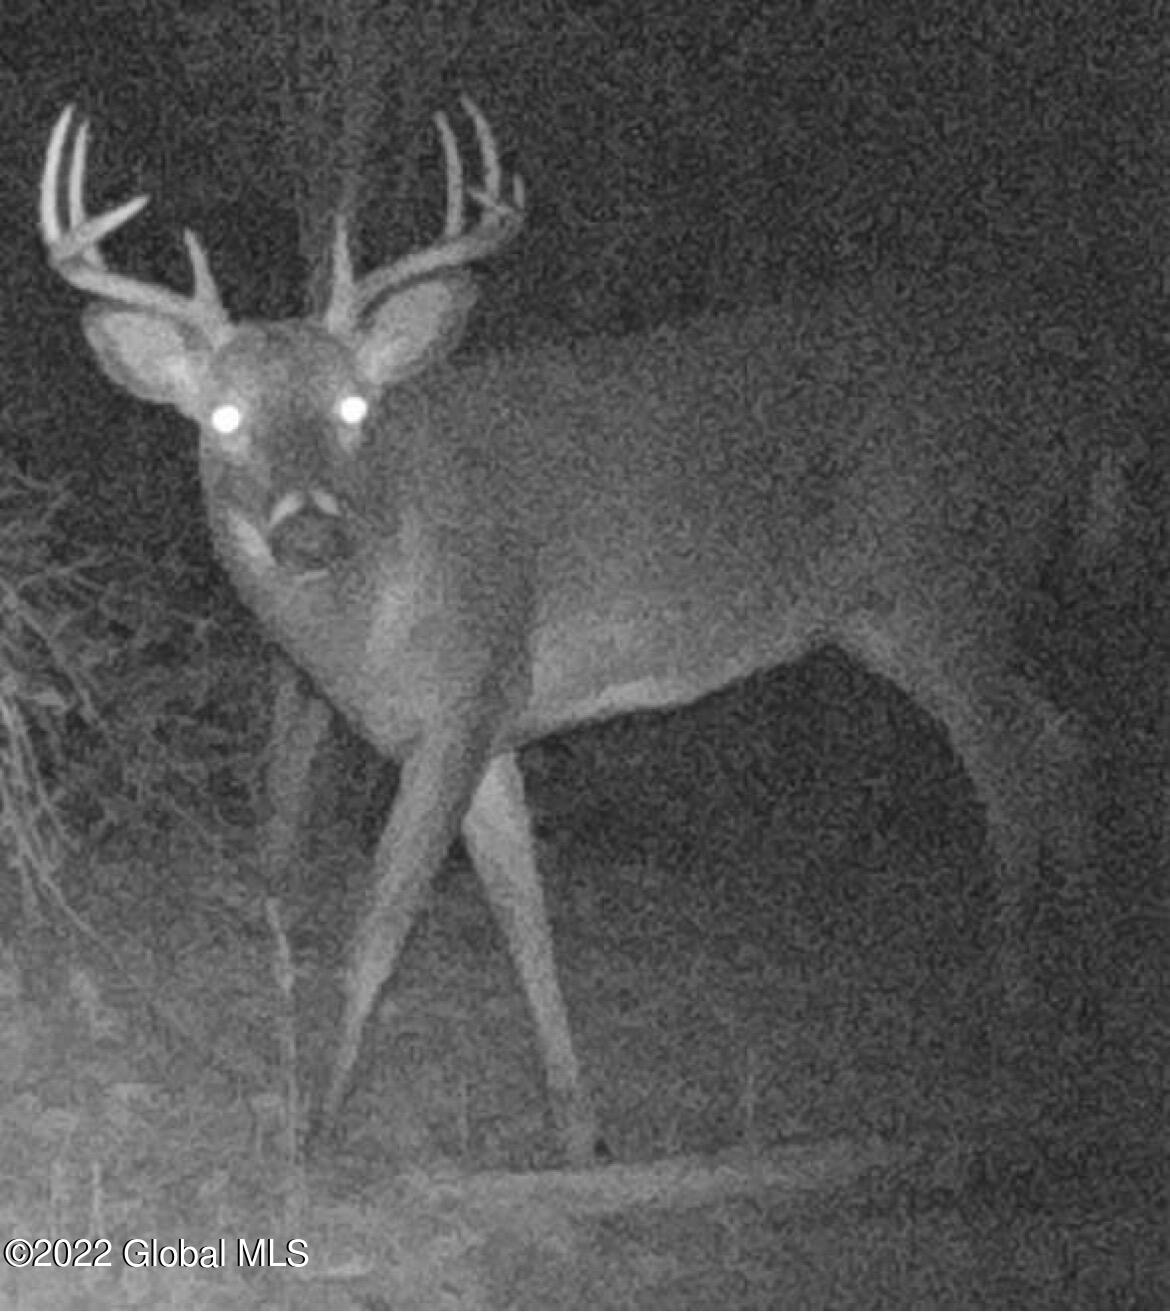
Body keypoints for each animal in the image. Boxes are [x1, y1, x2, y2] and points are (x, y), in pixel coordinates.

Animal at [41, 98, 1094, 1168]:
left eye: (353, 404)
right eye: (221, 417)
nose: (309, 531)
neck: (373, 622)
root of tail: (1073, 409)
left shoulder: (466, 690)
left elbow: (380, 925)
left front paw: (319, 1128)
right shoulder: (493, 720)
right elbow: (525, 919)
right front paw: (578, 1125)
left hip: (947, 581)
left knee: (1015, 765)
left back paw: (1016, 1011)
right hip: (891, 619)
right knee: (1060, 737)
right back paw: (1084, 995)